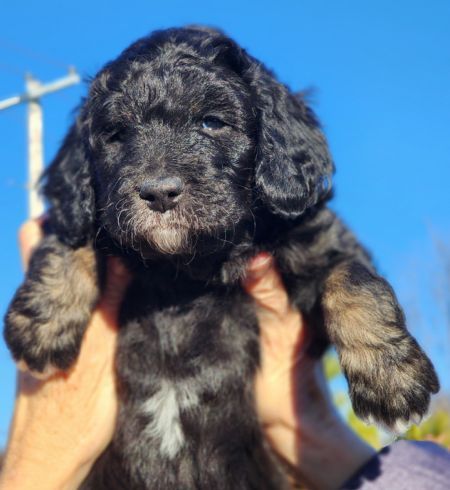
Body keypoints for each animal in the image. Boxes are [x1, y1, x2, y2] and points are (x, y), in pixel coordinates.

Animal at [3, 27, 440, 490]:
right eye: (117, 134)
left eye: (212, 122)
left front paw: (392, 380)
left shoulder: (315, 239)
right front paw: (41, 323)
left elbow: (353, 279)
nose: (158, 192)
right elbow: (70, 234)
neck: (185, 269)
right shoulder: (86, 215)